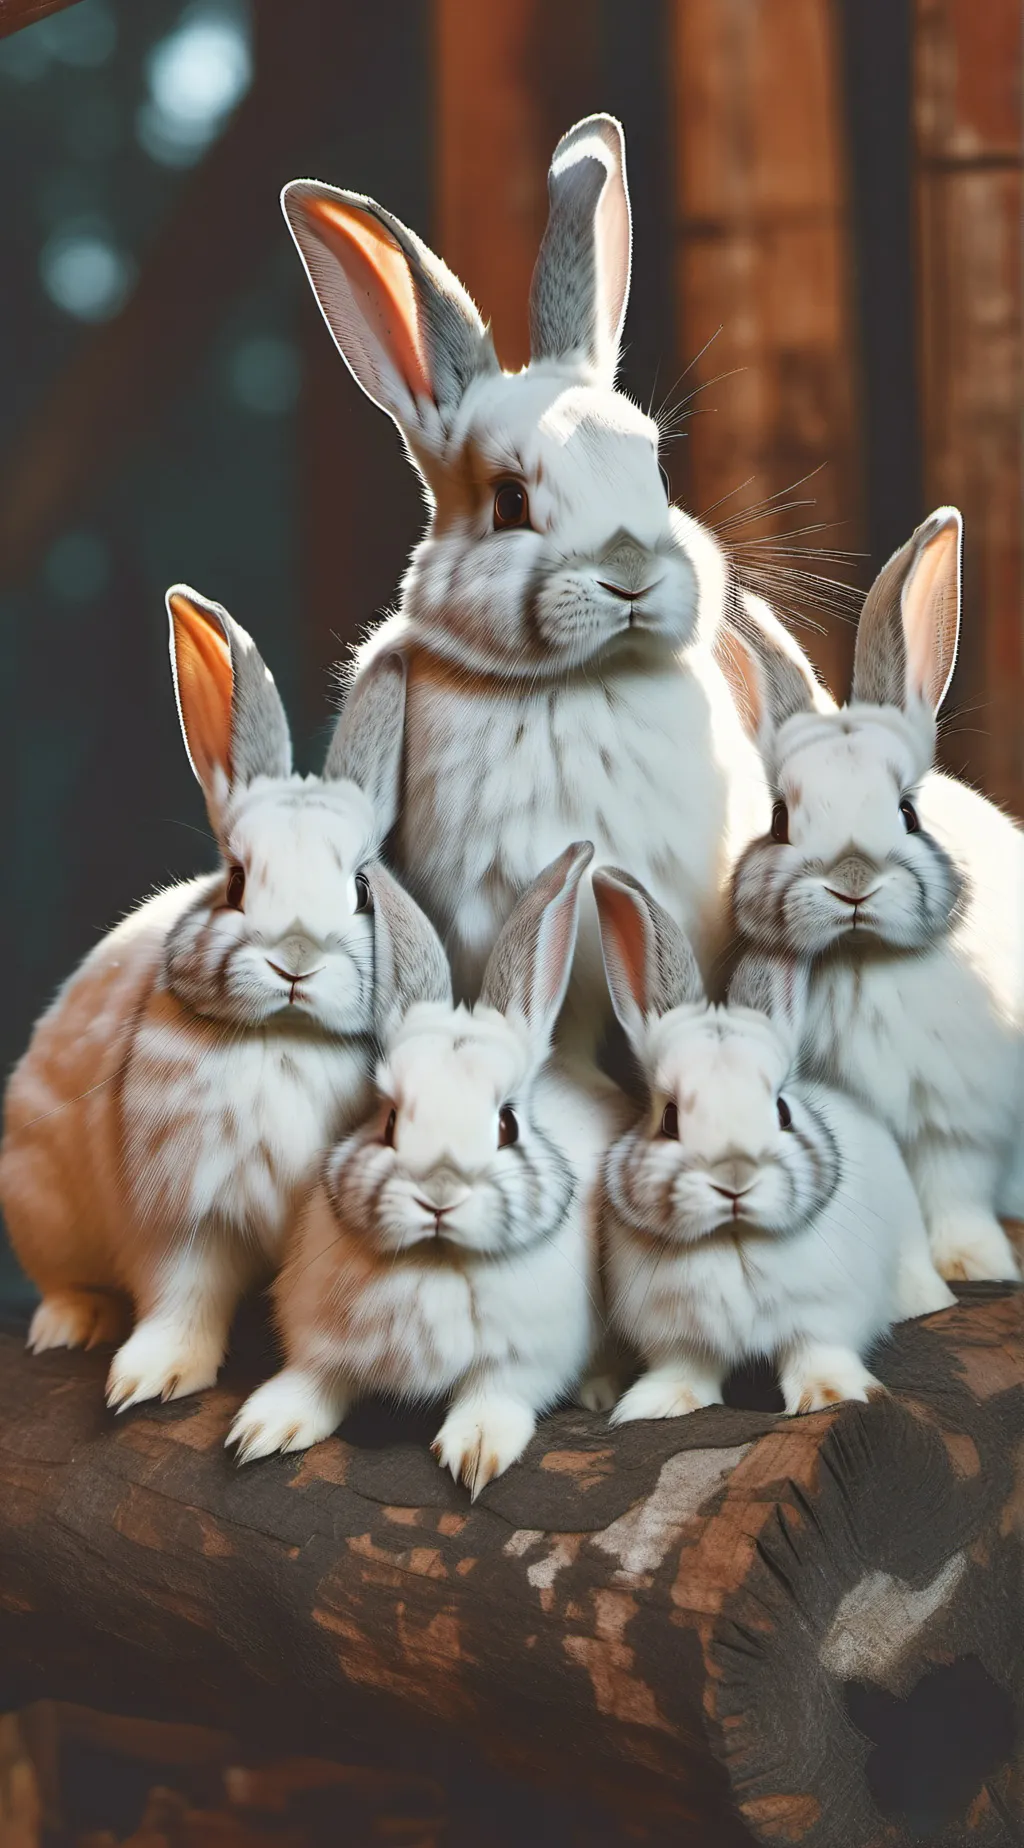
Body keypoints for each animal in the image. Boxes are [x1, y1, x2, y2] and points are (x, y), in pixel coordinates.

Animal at [0, 587, 407, 1411]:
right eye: (238, 882)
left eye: (360, 890)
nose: (294, 961)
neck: (283, 1038)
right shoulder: (183, 1213)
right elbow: (179, 1298)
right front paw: (148, 1378)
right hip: (34, 1199)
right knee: (60, 1280)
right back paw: (70, 1324)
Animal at [228, 842, 634, 1497]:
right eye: (389, 1120)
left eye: (507, 1125)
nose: (438, 1193)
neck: (437, 1261)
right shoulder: (323, 1339)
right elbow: (313, 1378)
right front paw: (261, 1429)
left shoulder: (525, 1358)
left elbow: (494, 1395)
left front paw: (475, 1453)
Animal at [592, 868, 955, 1424]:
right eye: (669, 1118)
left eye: (782, 1110)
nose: (735, 1179)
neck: (735, 1239)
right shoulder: (676, 1334)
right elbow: (684, 1369)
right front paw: (658, 1406)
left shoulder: (821, 1313)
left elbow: (817, 1354)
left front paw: (833, 1396)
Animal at [717, 507, 1024, 1283]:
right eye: (780, 820)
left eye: (909, 814)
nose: (851, 883)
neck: (865, 959)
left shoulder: (959, 1119)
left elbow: (955, 1191)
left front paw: (975, 1265)